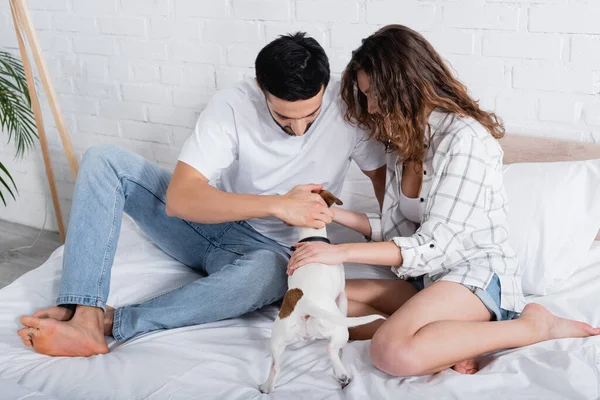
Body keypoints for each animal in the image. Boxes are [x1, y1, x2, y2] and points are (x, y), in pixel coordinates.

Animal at [260, 190, 386, 394]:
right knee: (331, 349)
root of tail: (305, 303)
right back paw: (342, 374)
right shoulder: (342, 294)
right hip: (339, 330)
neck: (311, 237)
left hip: (278, 339)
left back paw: (266, 387)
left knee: (275, 366)